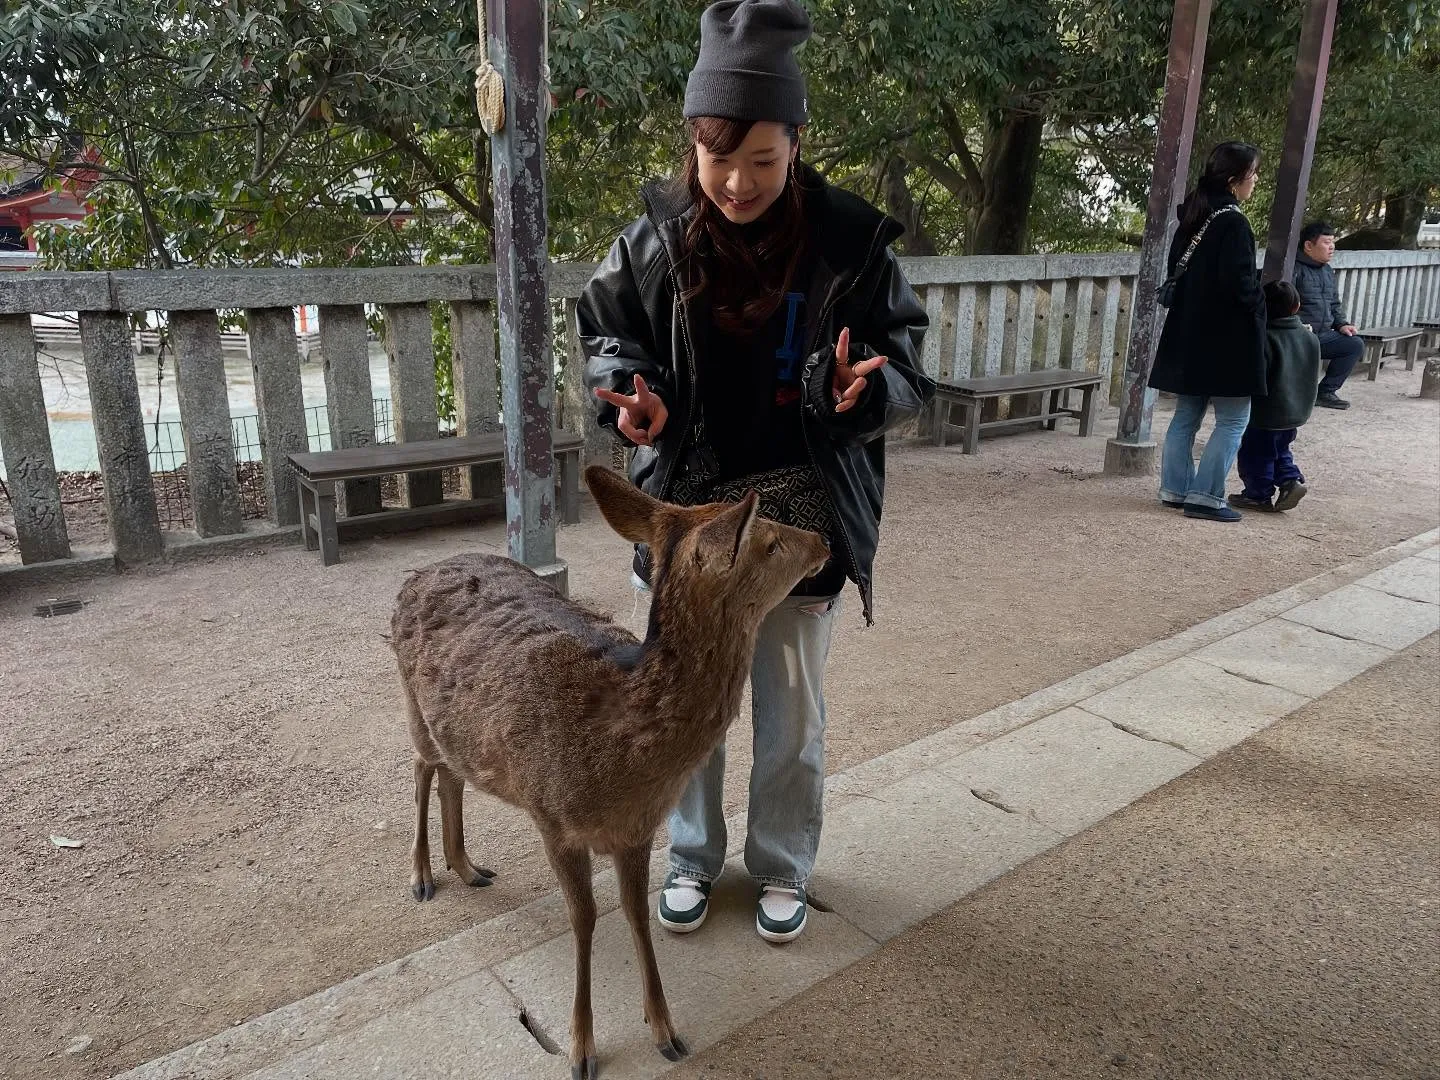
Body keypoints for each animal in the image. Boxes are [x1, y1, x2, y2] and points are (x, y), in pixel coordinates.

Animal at [388, 466, 835, 1080]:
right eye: (768, 540)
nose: (825, 541)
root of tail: (418, 574)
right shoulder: (553, 817)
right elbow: (584, 919)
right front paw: (582, 1048)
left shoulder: (638, 829)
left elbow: (637, 913)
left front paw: (666, 1030)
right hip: (410, 702)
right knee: (420, 770)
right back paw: (423, 877)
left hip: (453, 727)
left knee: (453, 773)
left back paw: (469, 867)